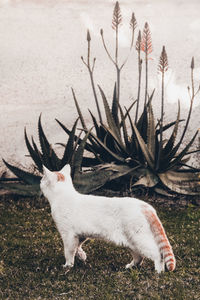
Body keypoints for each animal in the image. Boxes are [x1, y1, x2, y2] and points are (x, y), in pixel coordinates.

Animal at [40, 163, 175, 274]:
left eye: (42, 179)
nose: (40, 181)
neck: (63, 195)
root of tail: (145, 206)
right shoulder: (81, 234)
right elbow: (77, 247)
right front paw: (82, 256)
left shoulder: (68, 235)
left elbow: (68, 252)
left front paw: (68, 265)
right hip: (130, 242)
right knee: (139, 257)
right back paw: (130, 266)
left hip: (139, 239)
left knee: (158, 254)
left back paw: (158, 272)